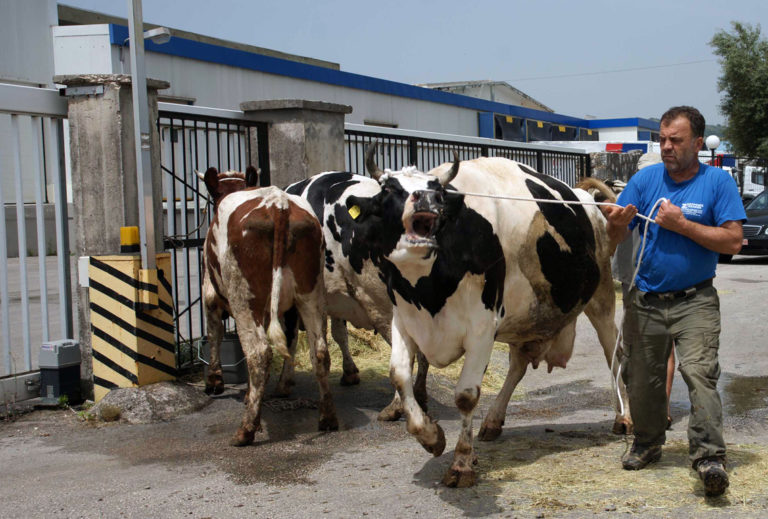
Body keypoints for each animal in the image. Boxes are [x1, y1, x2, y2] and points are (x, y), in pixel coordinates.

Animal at [201, 169, 340, 444]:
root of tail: (278, 204)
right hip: (311, 293)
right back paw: (327, 417)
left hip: (244, 298)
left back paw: (246, 429)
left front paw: (215, 382)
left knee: (258, 352)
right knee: (319, 351)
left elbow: (214, 334)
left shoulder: (210, 294)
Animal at [348, 146, 624, 488]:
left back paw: (623, 418)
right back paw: (493, 421)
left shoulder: (481, 327)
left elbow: (466, 395)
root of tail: (587, 199)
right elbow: (399, 375)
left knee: (613, 351)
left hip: (601, 296)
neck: (429, 291)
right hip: (525, 318)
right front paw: (430, 437)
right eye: (388, 190)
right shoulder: (404, 320)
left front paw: (462, 464)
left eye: (438, 191)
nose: (425, 198)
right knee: (518, 365)